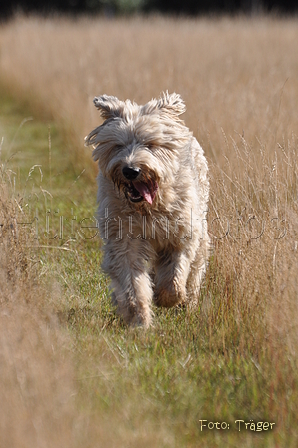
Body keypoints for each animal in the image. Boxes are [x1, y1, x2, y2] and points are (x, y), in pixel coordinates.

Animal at [85, 92, 208, 328]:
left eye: (150, 144)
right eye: (119, 145)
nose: (130, 170)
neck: (148, 209)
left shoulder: (181, 233)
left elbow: (175, 274)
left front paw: (168, 297)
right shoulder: (124, 238)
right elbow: (133, 282)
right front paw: (139, 319)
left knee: (196, 268)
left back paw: (189, 302)